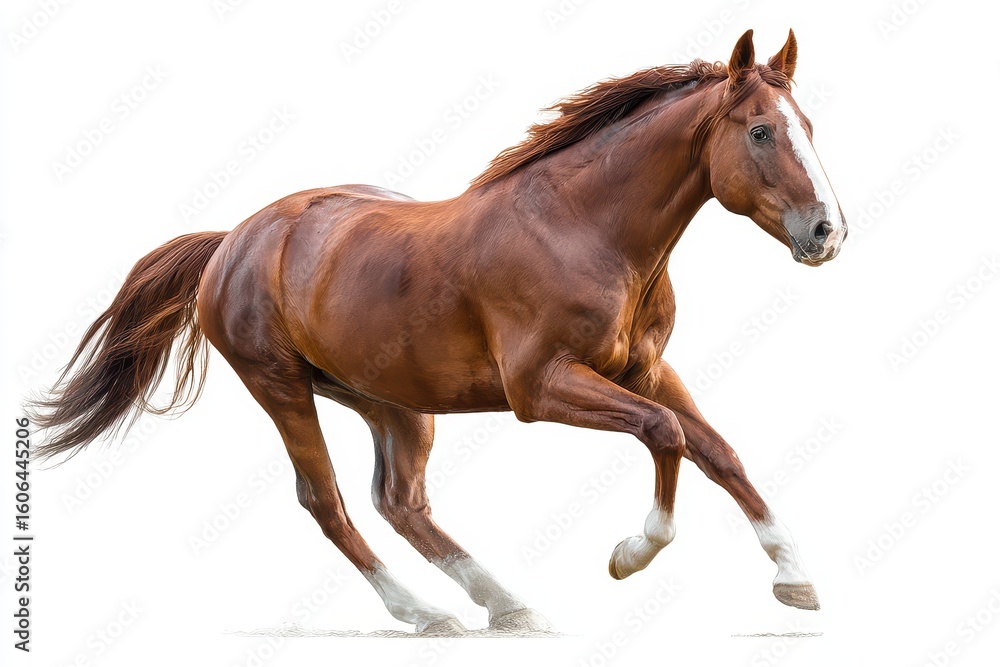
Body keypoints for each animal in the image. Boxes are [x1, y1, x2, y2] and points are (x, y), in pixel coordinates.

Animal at [31, 29, 845, 633]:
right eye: (762, 131)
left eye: (808, 127)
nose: (827, 232)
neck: (585, 228)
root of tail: (233, 237)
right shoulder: (541, 387)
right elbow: (665, 434)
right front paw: (630, 554)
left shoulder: (643, 369)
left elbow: (719, 450)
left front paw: (796, 579)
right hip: (281, 386)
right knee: (327, 502)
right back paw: (425, 614)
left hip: (391, 400)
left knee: (401, 503)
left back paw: (506, 606)